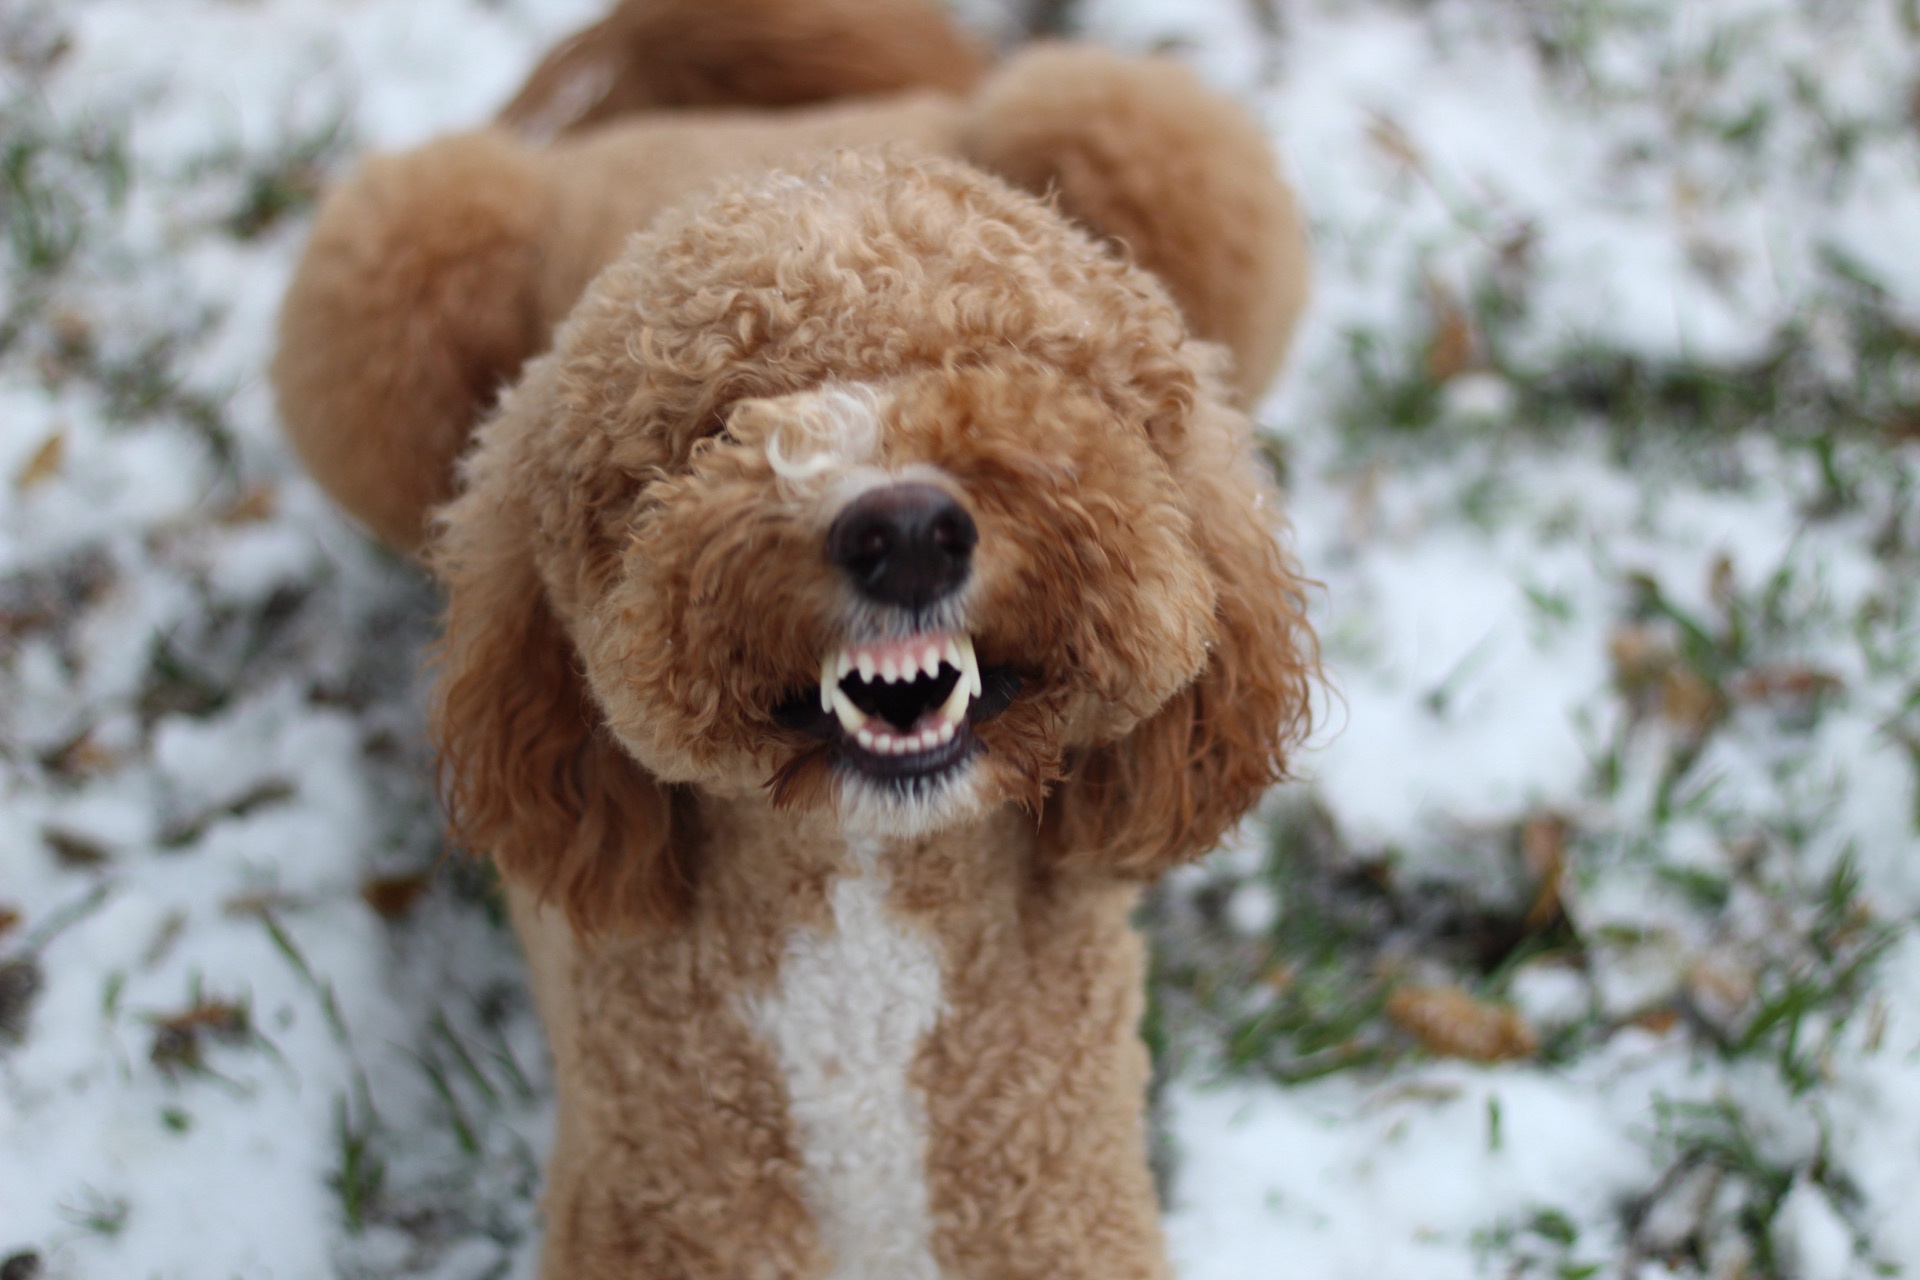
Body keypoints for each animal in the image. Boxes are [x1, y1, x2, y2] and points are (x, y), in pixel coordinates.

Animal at [278, 5, 1313, 1274]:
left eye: (1009, 370)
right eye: (715, 423)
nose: (906, 531)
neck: (863, 905)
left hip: (1148, 129)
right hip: (396, 260)